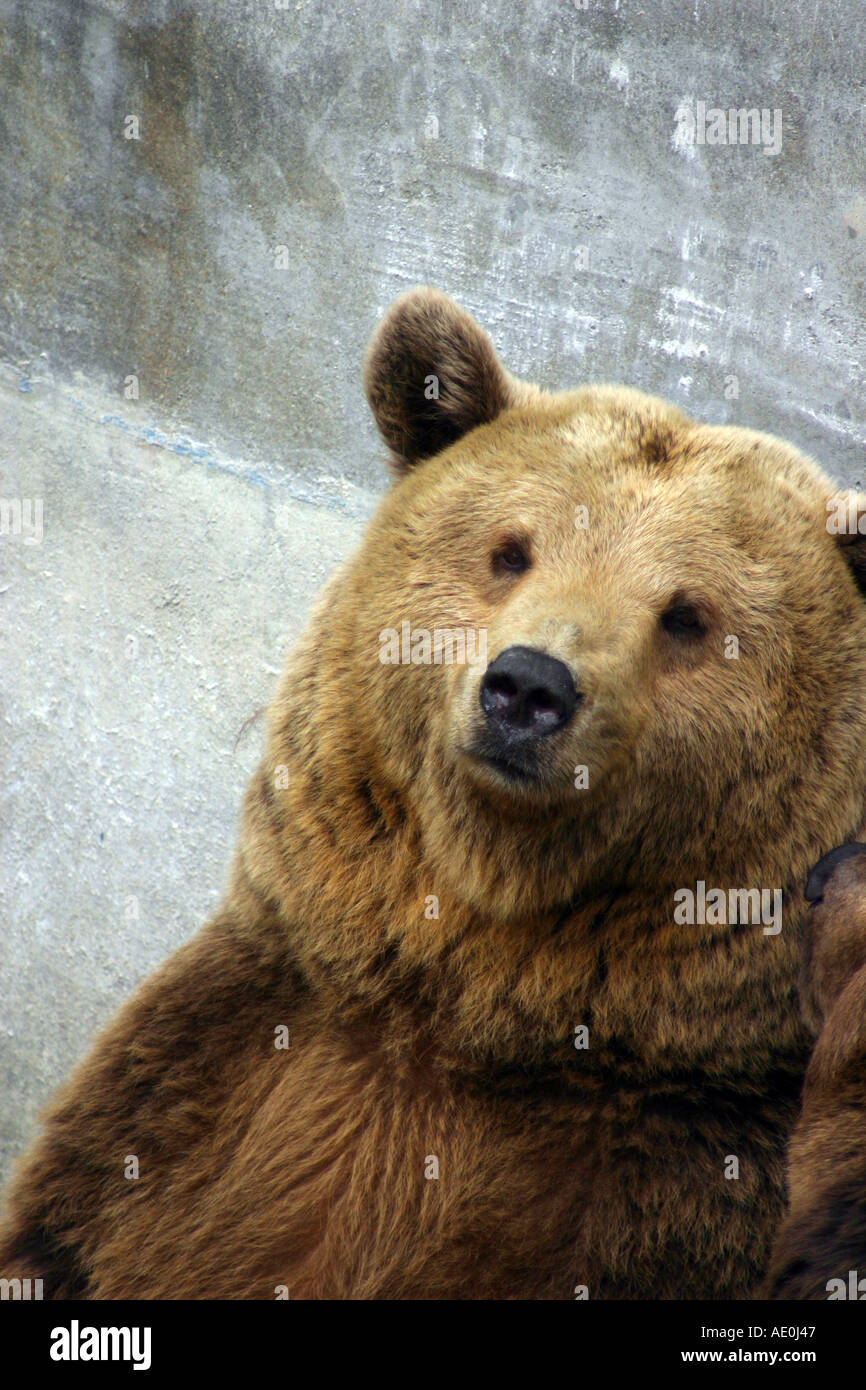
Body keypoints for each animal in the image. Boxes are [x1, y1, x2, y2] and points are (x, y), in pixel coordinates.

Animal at [2, 287, 866, 1300]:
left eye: (688, 615)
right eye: (513, 551)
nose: (528, 687)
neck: (456, 1007)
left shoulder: (671, 1199)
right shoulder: (211, 1093)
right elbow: (84, 1225)